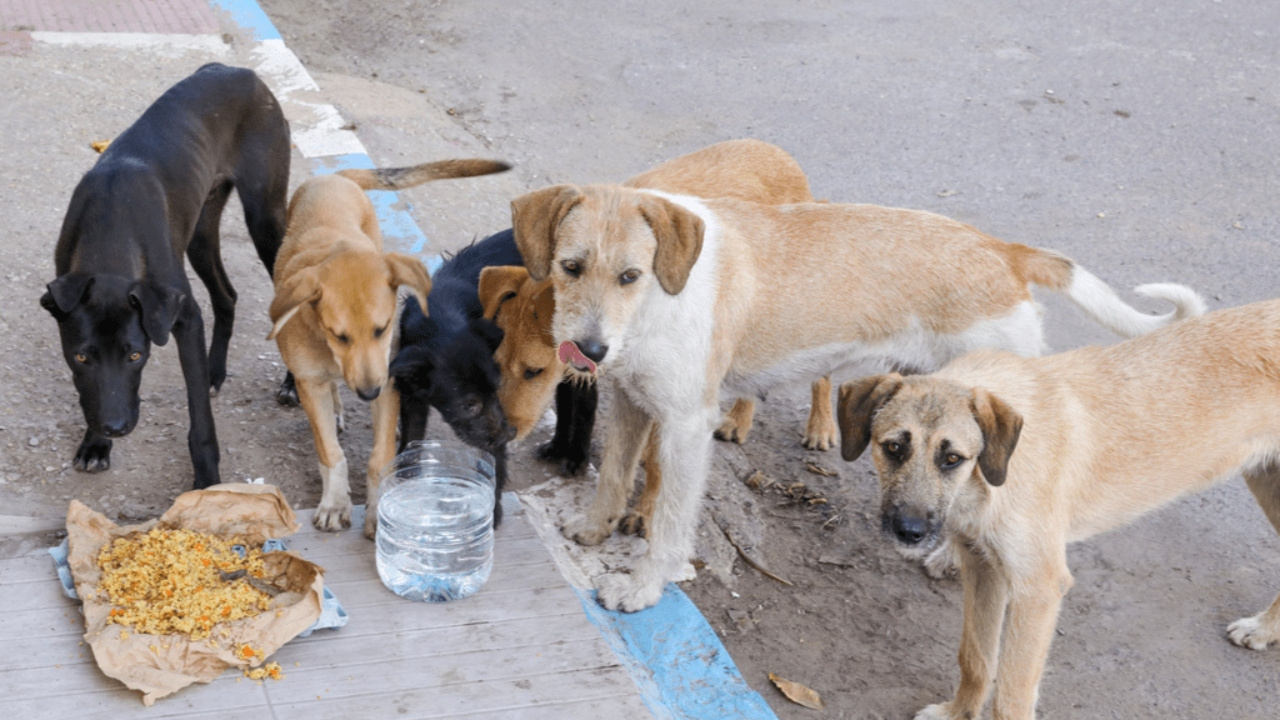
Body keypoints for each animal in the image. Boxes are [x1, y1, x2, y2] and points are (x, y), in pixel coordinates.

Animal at [41, 64, 290, 486]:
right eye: (81, 356)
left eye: (136, 355)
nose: (115, 428)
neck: (111, 226)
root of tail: (240, 71)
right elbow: (93, 393)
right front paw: (95, 444)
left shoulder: (185, 318)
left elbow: (199, 416)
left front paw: (207, 479)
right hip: (200, 234)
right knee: (227, 295)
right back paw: (215, 371)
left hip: (266, 221)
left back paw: (293, 384)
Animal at [386, 226, 517, 525]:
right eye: (468, 405)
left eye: (496, 389)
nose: (507, 436)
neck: (441, 318)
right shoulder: (411, 393)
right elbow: (412, 432)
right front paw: (407, 474)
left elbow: (494, 463)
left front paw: (492, 508)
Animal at [509, 180, 1198, 609]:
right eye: (570, 267)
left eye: (631, 275)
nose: (588, 352)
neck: (659, 299)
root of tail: (1003, 251)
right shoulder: (631, 402)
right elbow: (613, 474)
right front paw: (594, 529)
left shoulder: (684, 426)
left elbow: (668, 522)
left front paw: (644, 587)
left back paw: (952, 560)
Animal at [834, 297, 1280, 717]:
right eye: (893, 447)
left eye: (952, 459)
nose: (909, 532)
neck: (993, 473)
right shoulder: (983, 568)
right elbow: (976, 658)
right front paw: (959, 713)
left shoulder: (1039, 590)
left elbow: (1011, 696)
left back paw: (1262, 628)